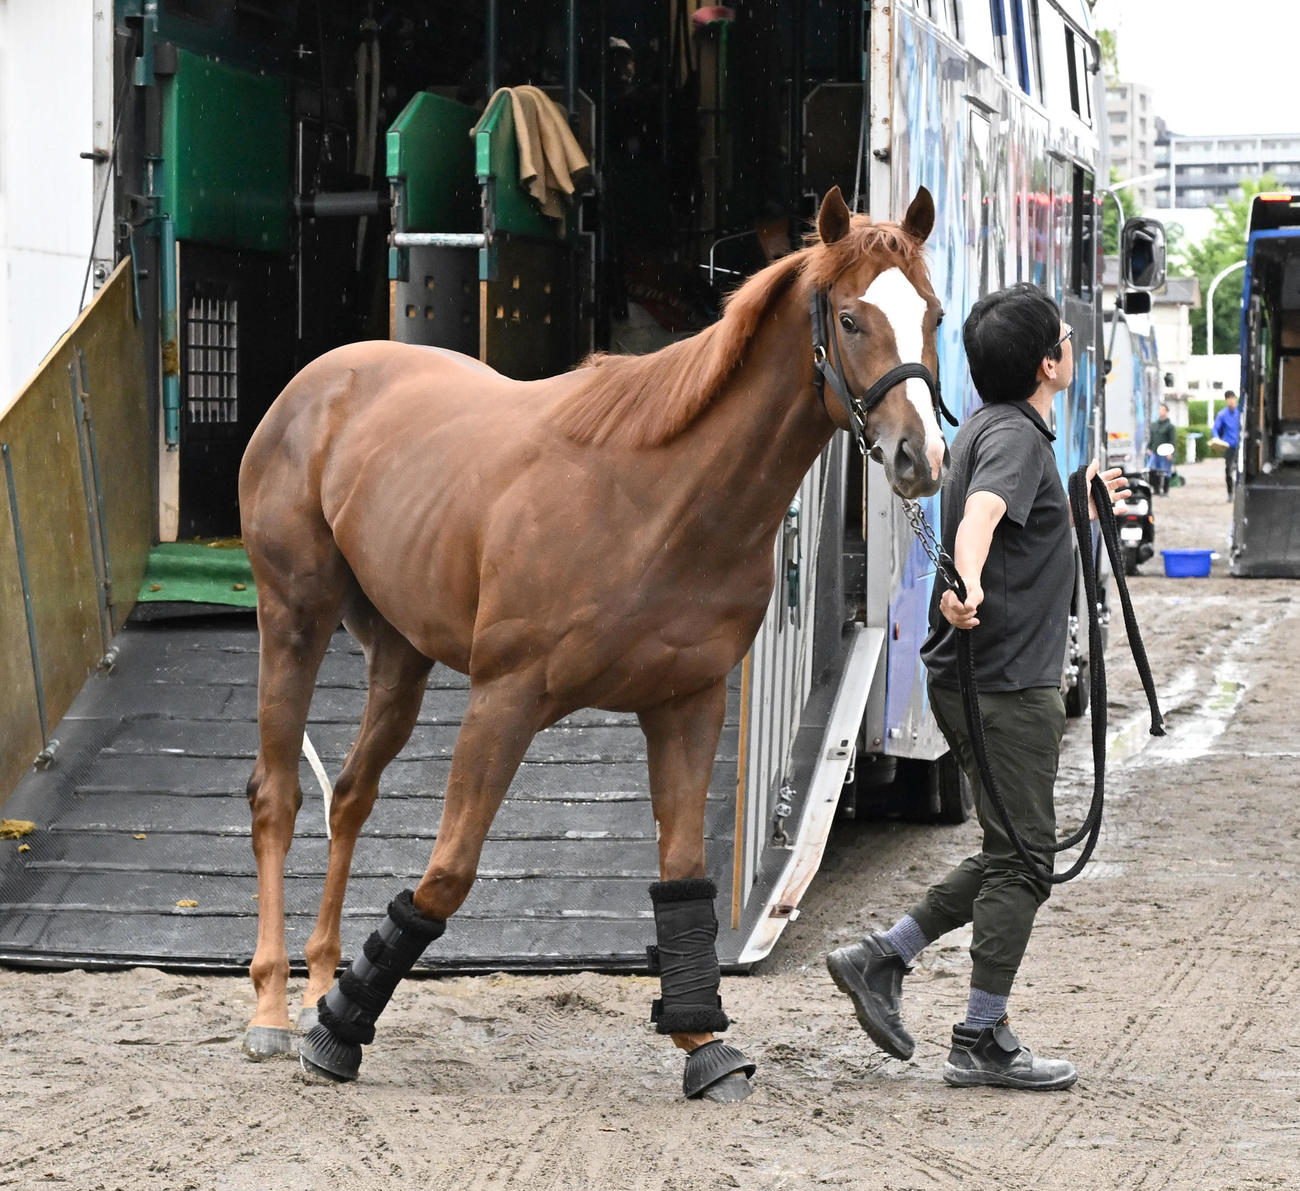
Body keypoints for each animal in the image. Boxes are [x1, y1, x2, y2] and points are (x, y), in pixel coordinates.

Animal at [237, 185, 948, 1102]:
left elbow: (682, 873)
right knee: (278, 796)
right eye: (853, 319)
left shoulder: (686, 705)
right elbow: (448, 871)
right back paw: (274, 1008)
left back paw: (321, 979)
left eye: (932, 314)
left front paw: (703, 1043)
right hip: (294, 618)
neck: (655, 496)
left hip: (399, 657)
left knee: (351, 794)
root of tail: (320, 381)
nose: (920, 456)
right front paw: (339, 1035)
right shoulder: (503, 699)